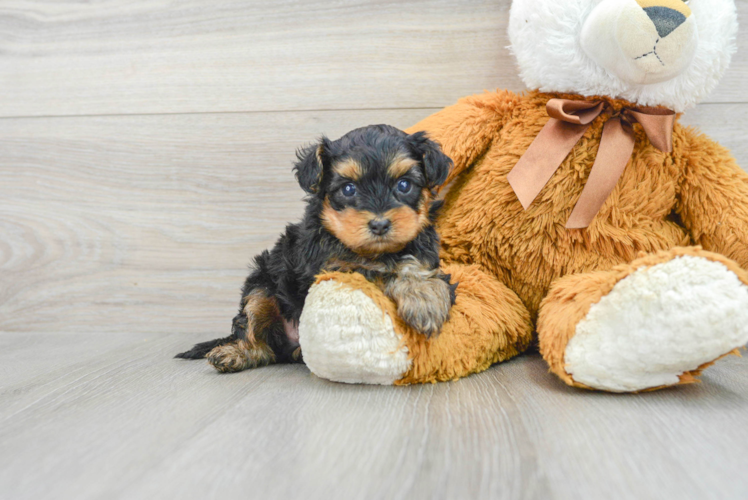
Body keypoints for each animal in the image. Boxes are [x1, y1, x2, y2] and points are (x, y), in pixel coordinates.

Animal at [177, 124, 456, 374]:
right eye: (348, 189)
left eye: (404, 185)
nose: (379, 224)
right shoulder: (330, 268)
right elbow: (375, 269)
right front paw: (422, 298)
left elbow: (413, 265)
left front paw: (424, 292)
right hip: (261, 285)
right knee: (257, 334)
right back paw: (235, 353)